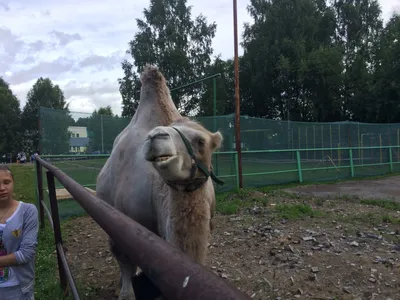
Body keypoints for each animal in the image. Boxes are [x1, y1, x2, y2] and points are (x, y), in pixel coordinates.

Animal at [95, 65, 223, 300]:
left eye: (201, 141)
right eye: (170, 129)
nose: (156, 136)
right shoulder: (122, 217)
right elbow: (125, 257)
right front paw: (126, 293)